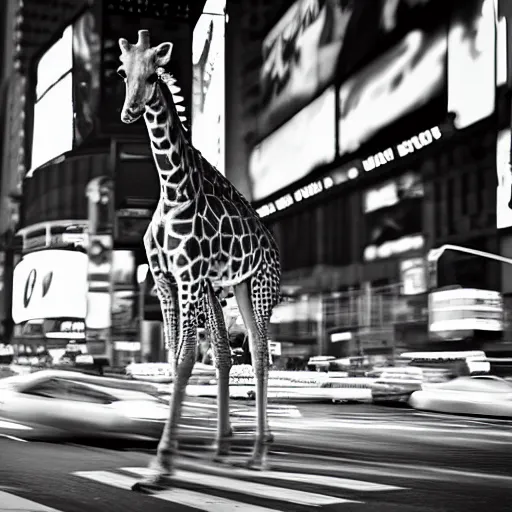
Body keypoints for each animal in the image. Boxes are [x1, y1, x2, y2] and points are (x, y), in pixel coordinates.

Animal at [118, 31, 282, 492]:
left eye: (153, 75)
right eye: (122, 72)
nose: (129, 111)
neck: (173, 189)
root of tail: (272, 249)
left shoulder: (190, 276)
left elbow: (186, 359)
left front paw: (161, 465)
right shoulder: (164, 280)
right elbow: (176, 355)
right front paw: (167, 460)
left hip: (260, 290)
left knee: (260, 353)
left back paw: (259, 453)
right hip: (236, 288)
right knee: (234, 353)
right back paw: (233, 448)